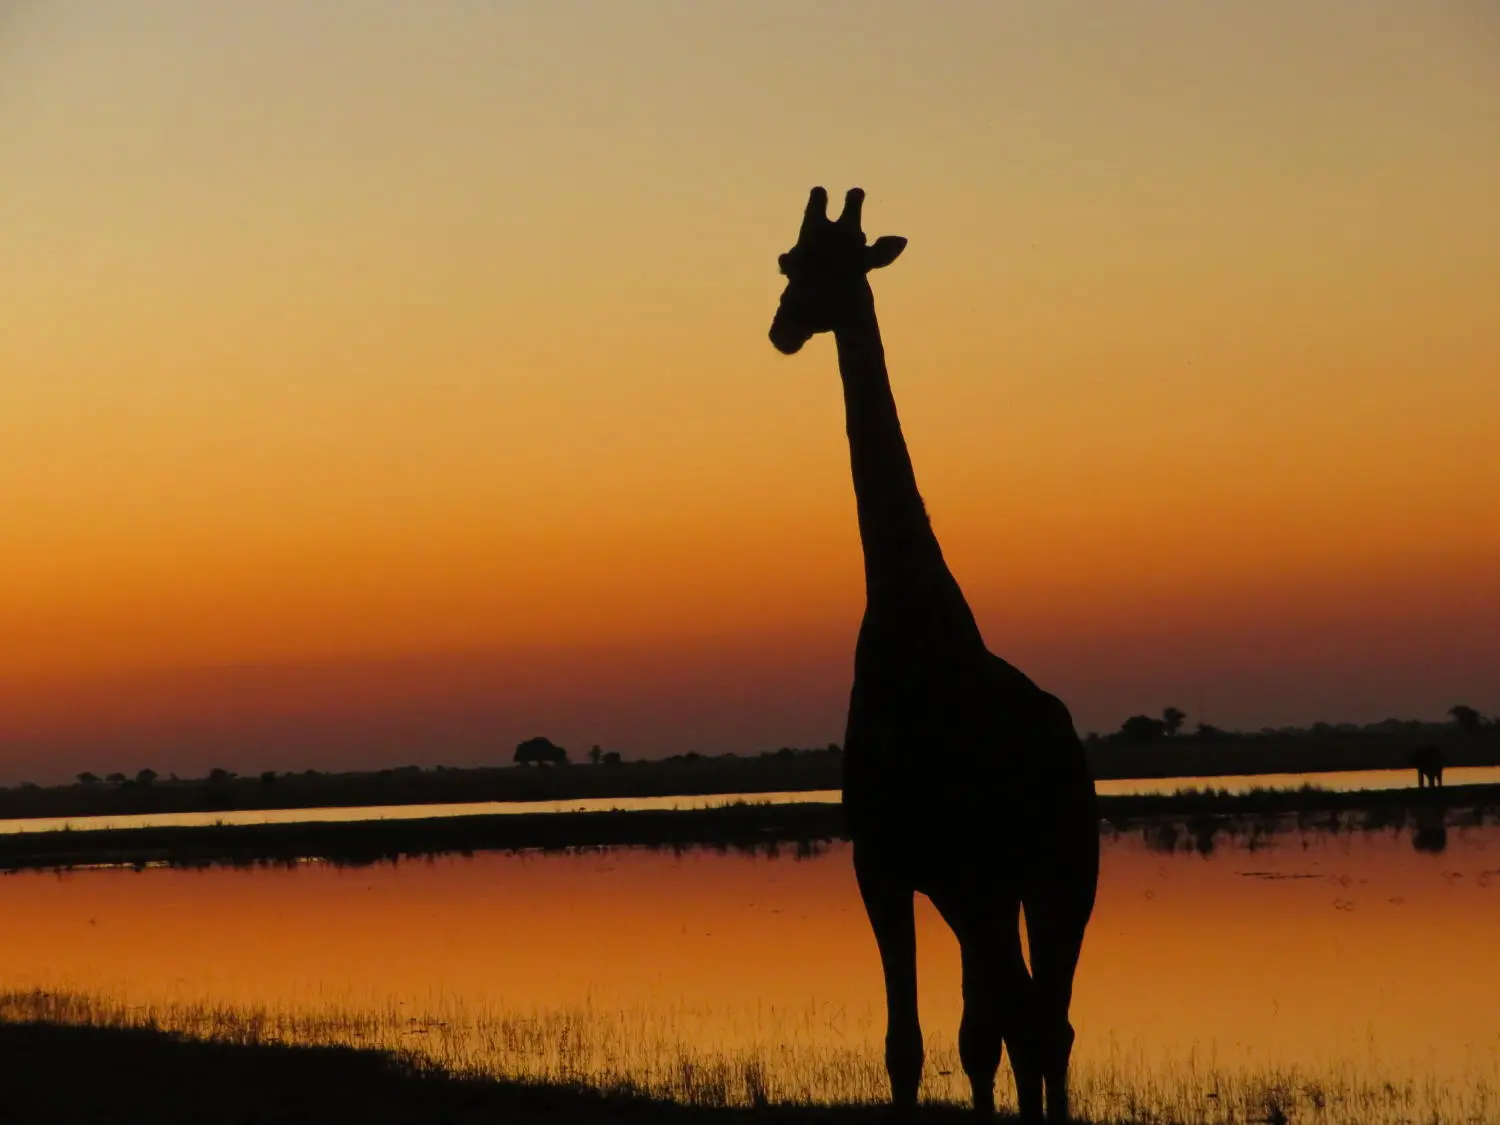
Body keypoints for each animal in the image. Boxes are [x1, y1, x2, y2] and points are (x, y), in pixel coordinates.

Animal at [767, 187, 1100, 1123]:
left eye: (841, 263)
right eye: (790, 261)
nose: (783, 326)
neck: (908, 624)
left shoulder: (963, 870)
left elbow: (966, 1035)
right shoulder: (884, 865)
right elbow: (914, 1044)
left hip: (1060, 872)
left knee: (1044, 1019)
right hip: (984, 888)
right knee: (1020, 1016)